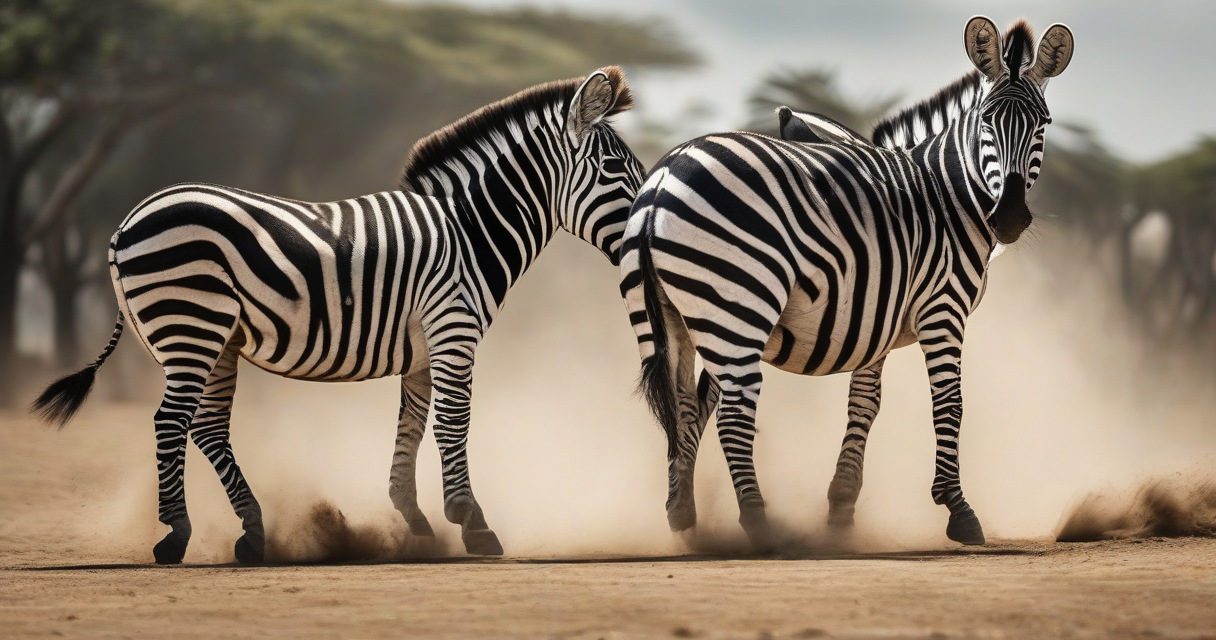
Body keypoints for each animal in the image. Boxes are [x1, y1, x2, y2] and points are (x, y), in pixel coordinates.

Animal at [32, 67, 643, 564]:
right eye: (615, 168)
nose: (646, 224)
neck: (467, 230)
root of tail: (125, 223)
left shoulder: (422, 348)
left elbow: (412, 425)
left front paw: (415, 521)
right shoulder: (453, 329)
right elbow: (454, 423)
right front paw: (474, 525)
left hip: (213, 338)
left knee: (207, 426)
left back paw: (253, 533)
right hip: (190, 324)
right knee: (171, 421)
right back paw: (176, 535)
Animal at [619, 17, 1074, 548]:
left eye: (1043, 124)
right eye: (985, 121)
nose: (1010, 218)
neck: (947, 196)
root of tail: (662, 179)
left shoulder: (877, 313)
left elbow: (864, 404)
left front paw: (841, 508)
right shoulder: (943, 307)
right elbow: (950, 403)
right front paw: (958, 510)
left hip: (678, 316)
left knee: (686, 408)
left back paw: (682, 516)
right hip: (740, 305)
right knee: (732, 416)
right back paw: (761, 526)